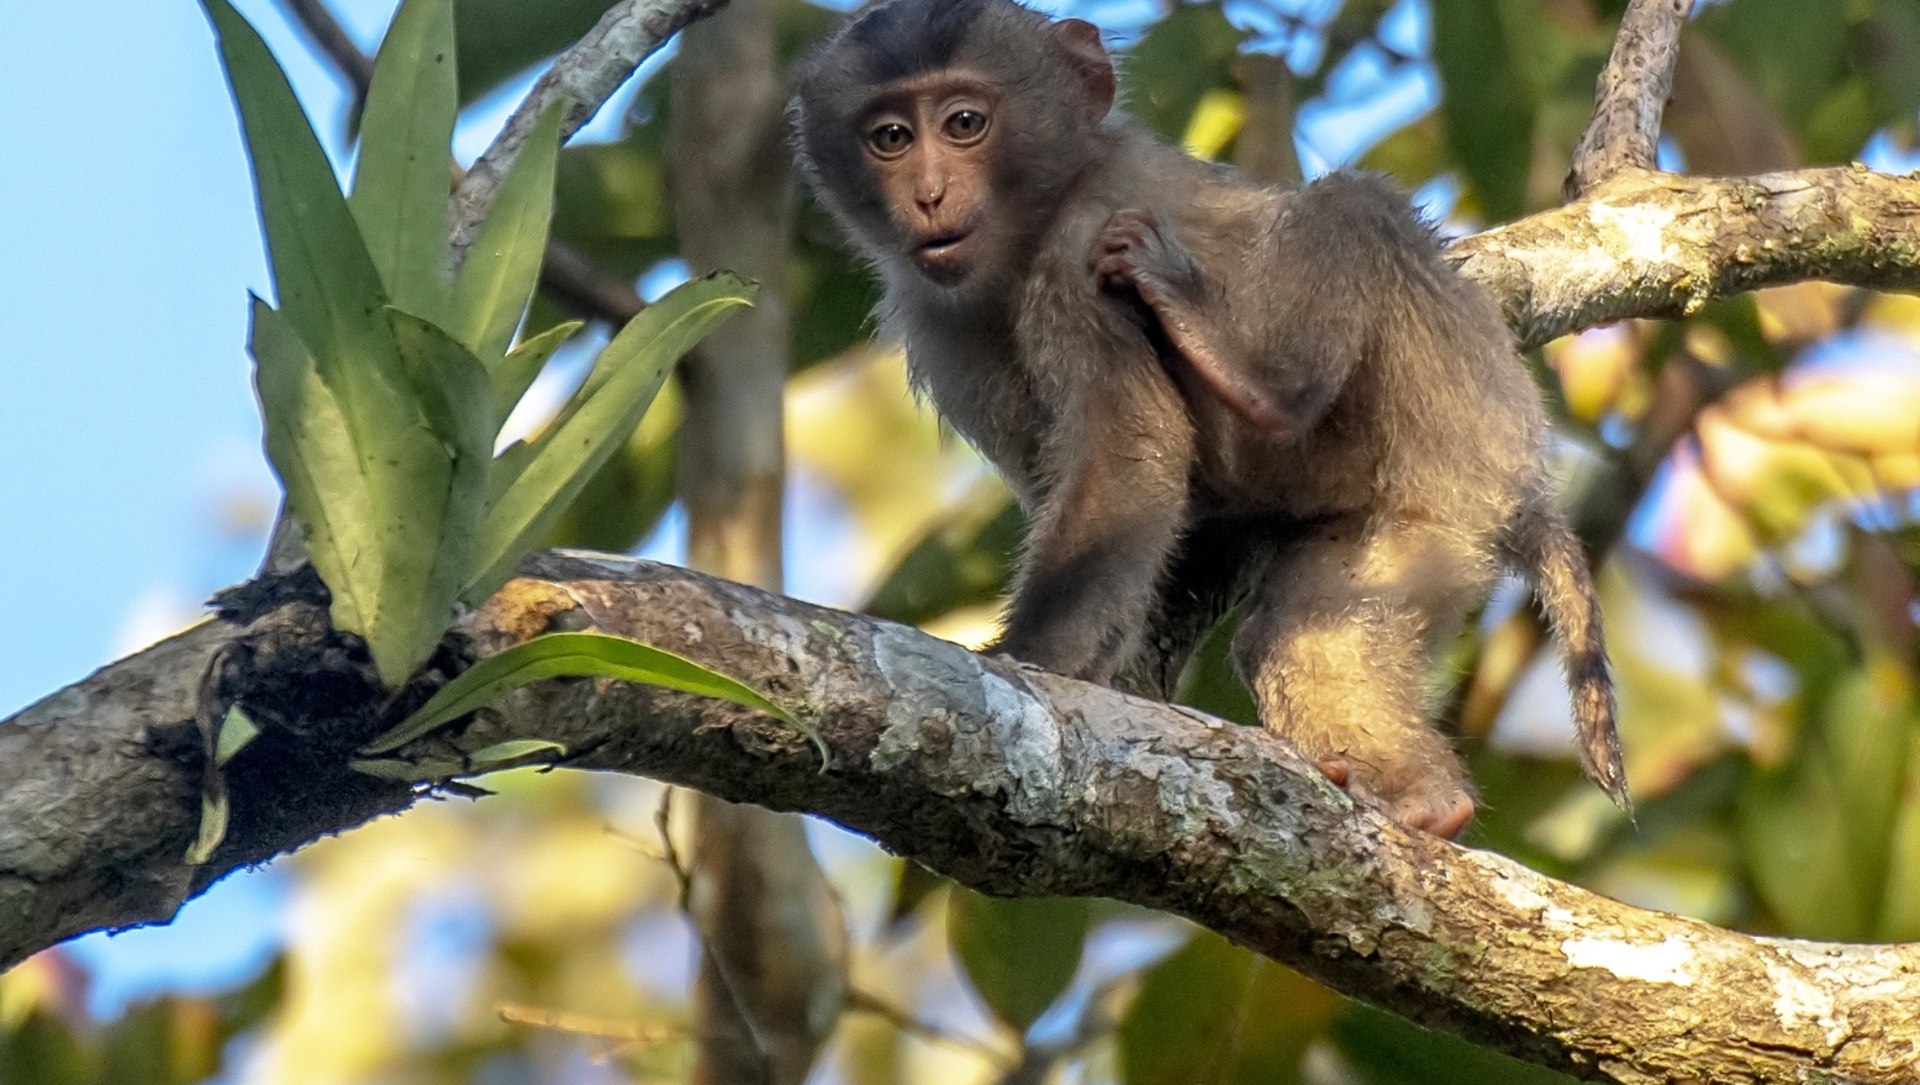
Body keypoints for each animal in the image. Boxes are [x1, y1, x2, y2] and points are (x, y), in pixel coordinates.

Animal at [791, 0, 1626, 837]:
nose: (928, 193)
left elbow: (1129, 459)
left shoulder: (1080, 252)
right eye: (891, 137)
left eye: (965, 122)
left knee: (1354, 204)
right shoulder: (935, 322)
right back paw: (1429, 799)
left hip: (1457, 418)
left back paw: (1264, 379)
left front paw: (1029, 656)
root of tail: (1526, 482)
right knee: (1301, 631)